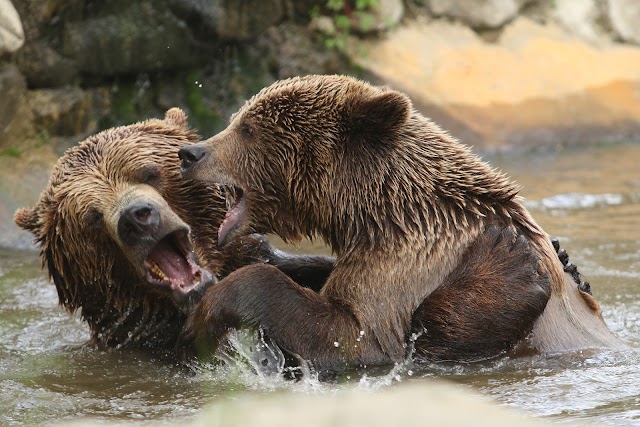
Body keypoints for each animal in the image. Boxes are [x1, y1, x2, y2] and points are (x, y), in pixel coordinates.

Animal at [179, 75, 624, 372]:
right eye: (238, 120)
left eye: (248, 129)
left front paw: (210, 310)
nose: (192, 153)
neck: (377, 211)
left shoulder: (407, 265)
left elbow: (350, 337)